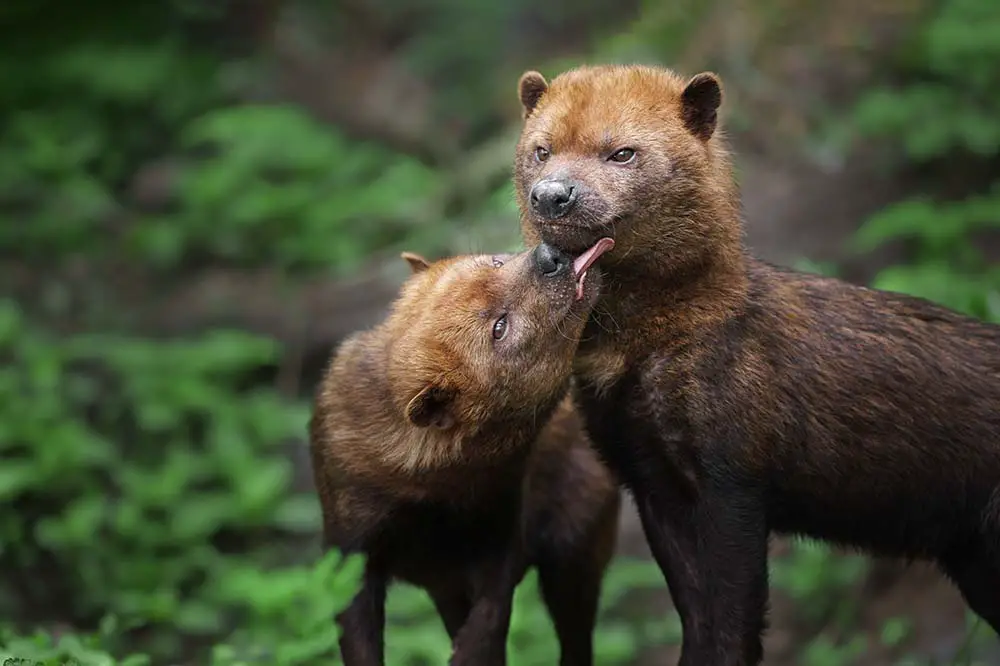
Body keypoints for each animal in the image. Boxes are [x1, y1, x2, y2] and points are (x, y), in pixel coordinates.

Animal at [312, 243, 620, 664]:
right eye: (498, 328)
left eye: (495, 261)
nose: (549, 256)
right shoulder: (350, 552)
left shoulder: (501, 532)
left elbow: (488, 623)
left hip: (573, 549)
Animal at [512, 62, 1000, 664]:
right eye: (541, 150)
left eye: (622, 152)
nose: (552, 195)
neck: (644, 356)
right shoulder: (652, 481)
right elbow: (696, 617)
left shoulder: (734, 481)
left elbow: (733, 619)